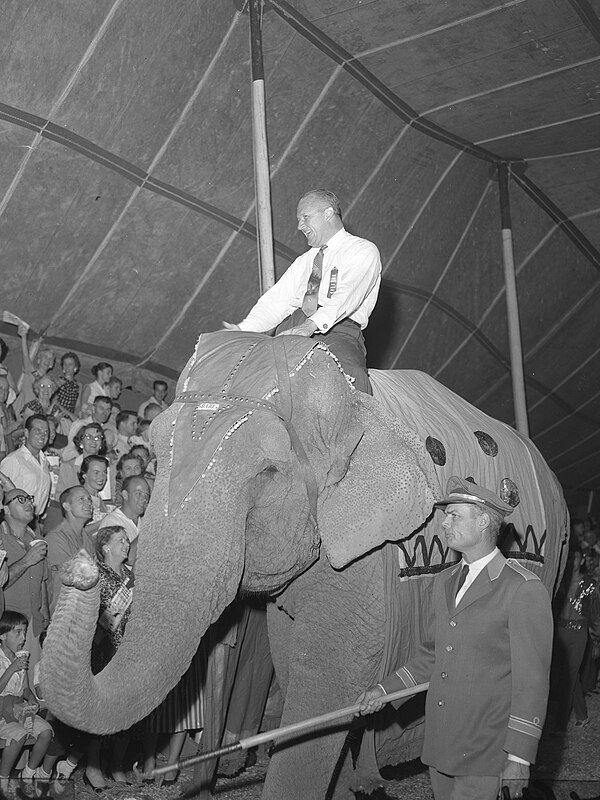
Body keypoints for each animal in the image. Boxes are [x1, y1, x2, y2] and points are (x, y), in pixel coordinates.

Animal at [43, 332, 568, 800]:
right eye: (154, 450)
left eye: (267, 473)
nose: (81, 567)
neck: (352, 408)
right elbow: (297, 665)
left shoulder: (369, 559)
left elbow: (324, 684)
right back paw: (367, 782)